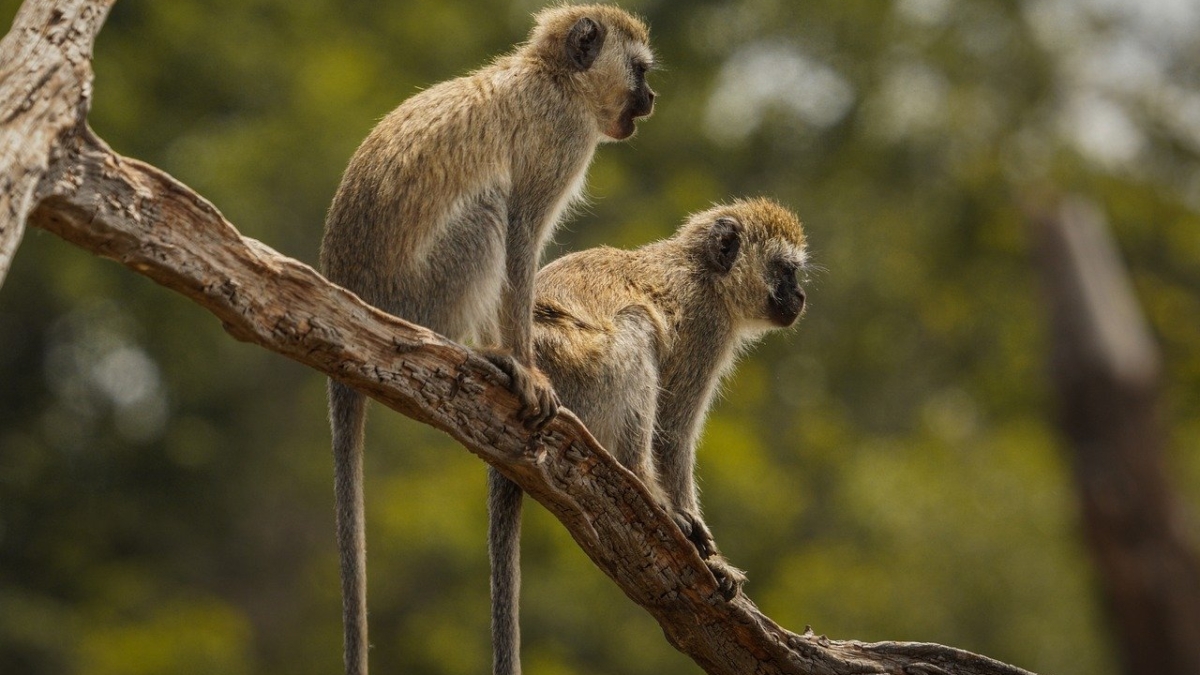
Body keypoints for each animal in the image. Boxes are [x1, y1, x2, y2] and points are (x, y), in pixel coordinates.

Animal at [319, 6, 657, 672]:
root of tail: (351, 295)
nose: (652, 98)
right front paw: (527, 365)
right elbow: (522, 232)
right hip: (420, 295)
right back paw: (476, 350)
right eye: (639, 70)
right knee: (490, 207)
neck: (554, 78)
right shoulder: (561, 141)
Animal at [484, 196, 806, 667]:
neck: (703, 272)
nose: (801, 295)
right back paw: (643, 484)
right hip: (579, 373)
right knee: (637, 326)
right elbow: (672, 433)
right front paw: (708, 552)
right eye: (785, 270)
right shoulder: (706, 326)